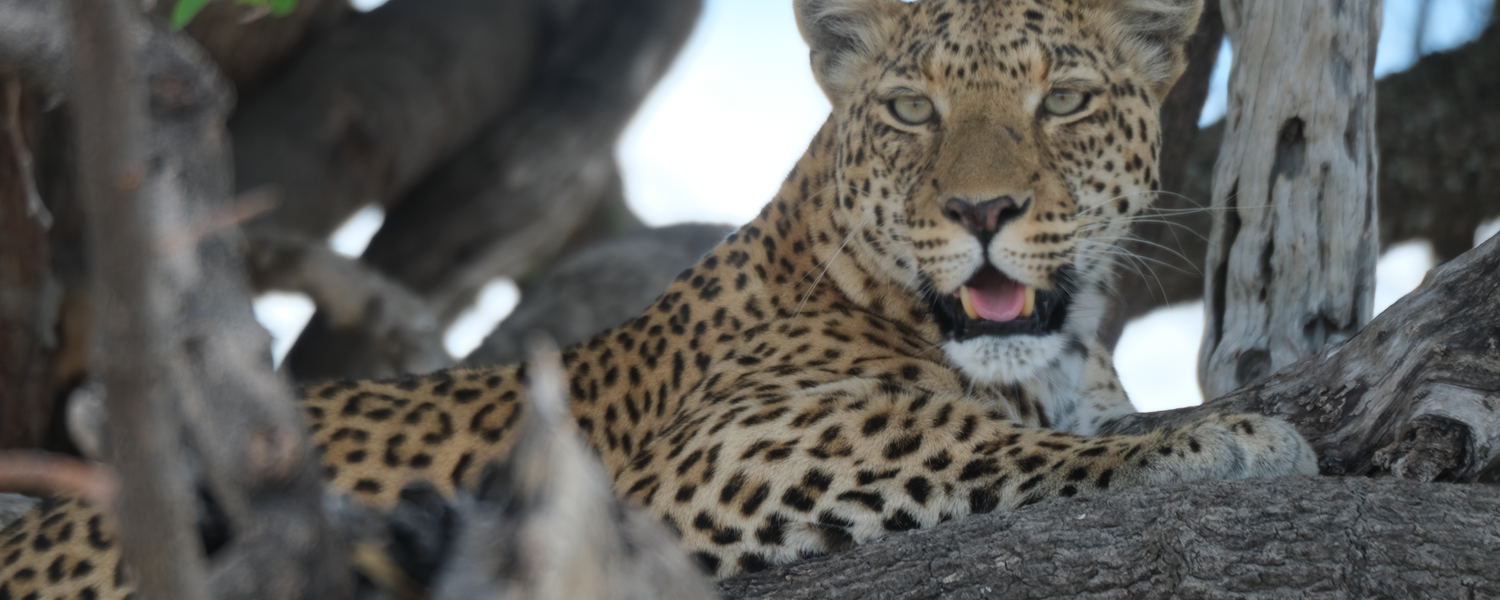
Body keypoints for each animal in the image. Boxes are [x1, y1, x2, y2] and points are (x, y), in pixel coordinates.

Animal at [1, 0, 1320, 597]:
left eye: (1067, 101)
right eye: (911, 111)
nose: (981, 211)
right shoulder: (720, 454)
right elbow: (965, 433)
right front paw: (1225, 441)